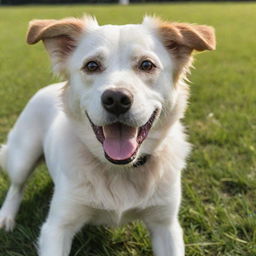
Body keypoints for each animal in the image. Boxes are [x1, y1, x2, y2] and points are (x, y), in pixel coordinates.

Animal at [0, 16, 216, 256]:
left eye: (147, 65)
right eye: (92, 65)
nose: (116, 99)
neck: (119, 170)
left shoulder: (166, 225)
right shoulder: (56, 227)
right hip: (23, 157)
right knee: (16, 186)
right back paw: (7, 216)